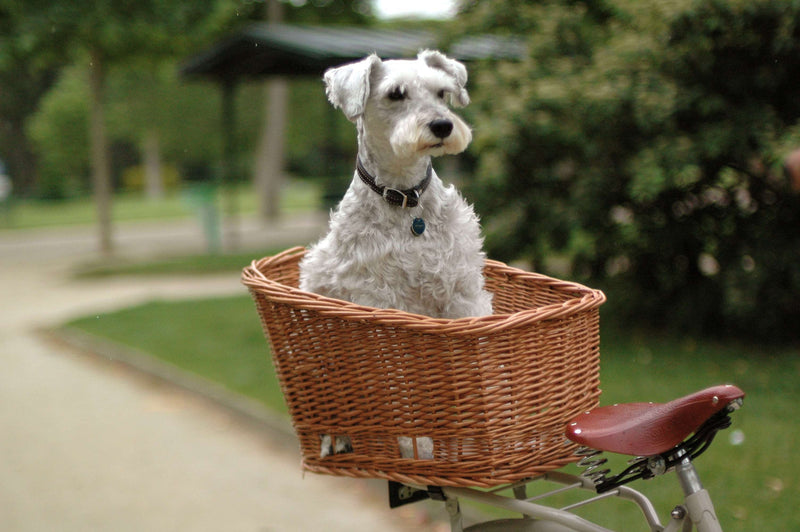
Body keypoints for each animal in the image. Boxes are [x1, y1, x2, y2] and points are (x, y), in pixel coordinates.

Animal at [296, 48, 490, 458]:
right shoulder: (379, 303)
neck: (406, 200)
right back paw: (337, 436)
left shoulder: (462, 291)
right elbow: (397, 388)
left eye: (443, 93)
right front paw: (417, 444)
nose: (442, 126)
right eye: (396, 94)